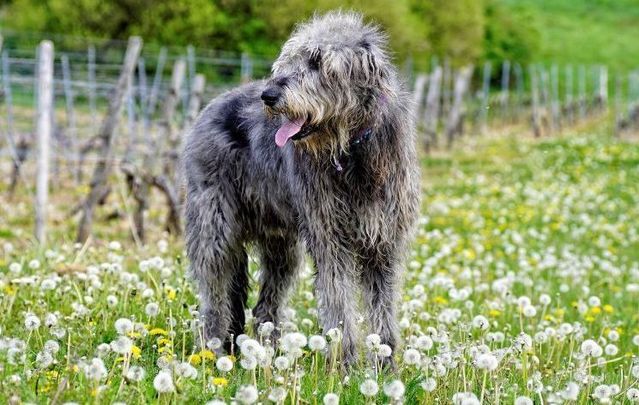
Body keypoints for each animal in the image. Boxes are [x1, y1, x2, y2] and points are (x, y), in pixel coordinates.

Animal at [182, 11, 420, 364]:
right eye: (289, 59)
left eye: (317, 62)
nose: (269, 96)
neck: (352, 151)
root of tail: (211, 105)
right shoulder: (329, 237)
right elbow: (339, 306)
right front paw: (346, 365)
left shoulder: (383, 241)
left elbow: (383, 309)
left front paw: (386, 366)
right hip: (214, 225)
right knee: (214, 295)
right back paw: (213, 353)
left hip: (280, 244)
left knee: (265, 306)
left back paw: (268, 355)